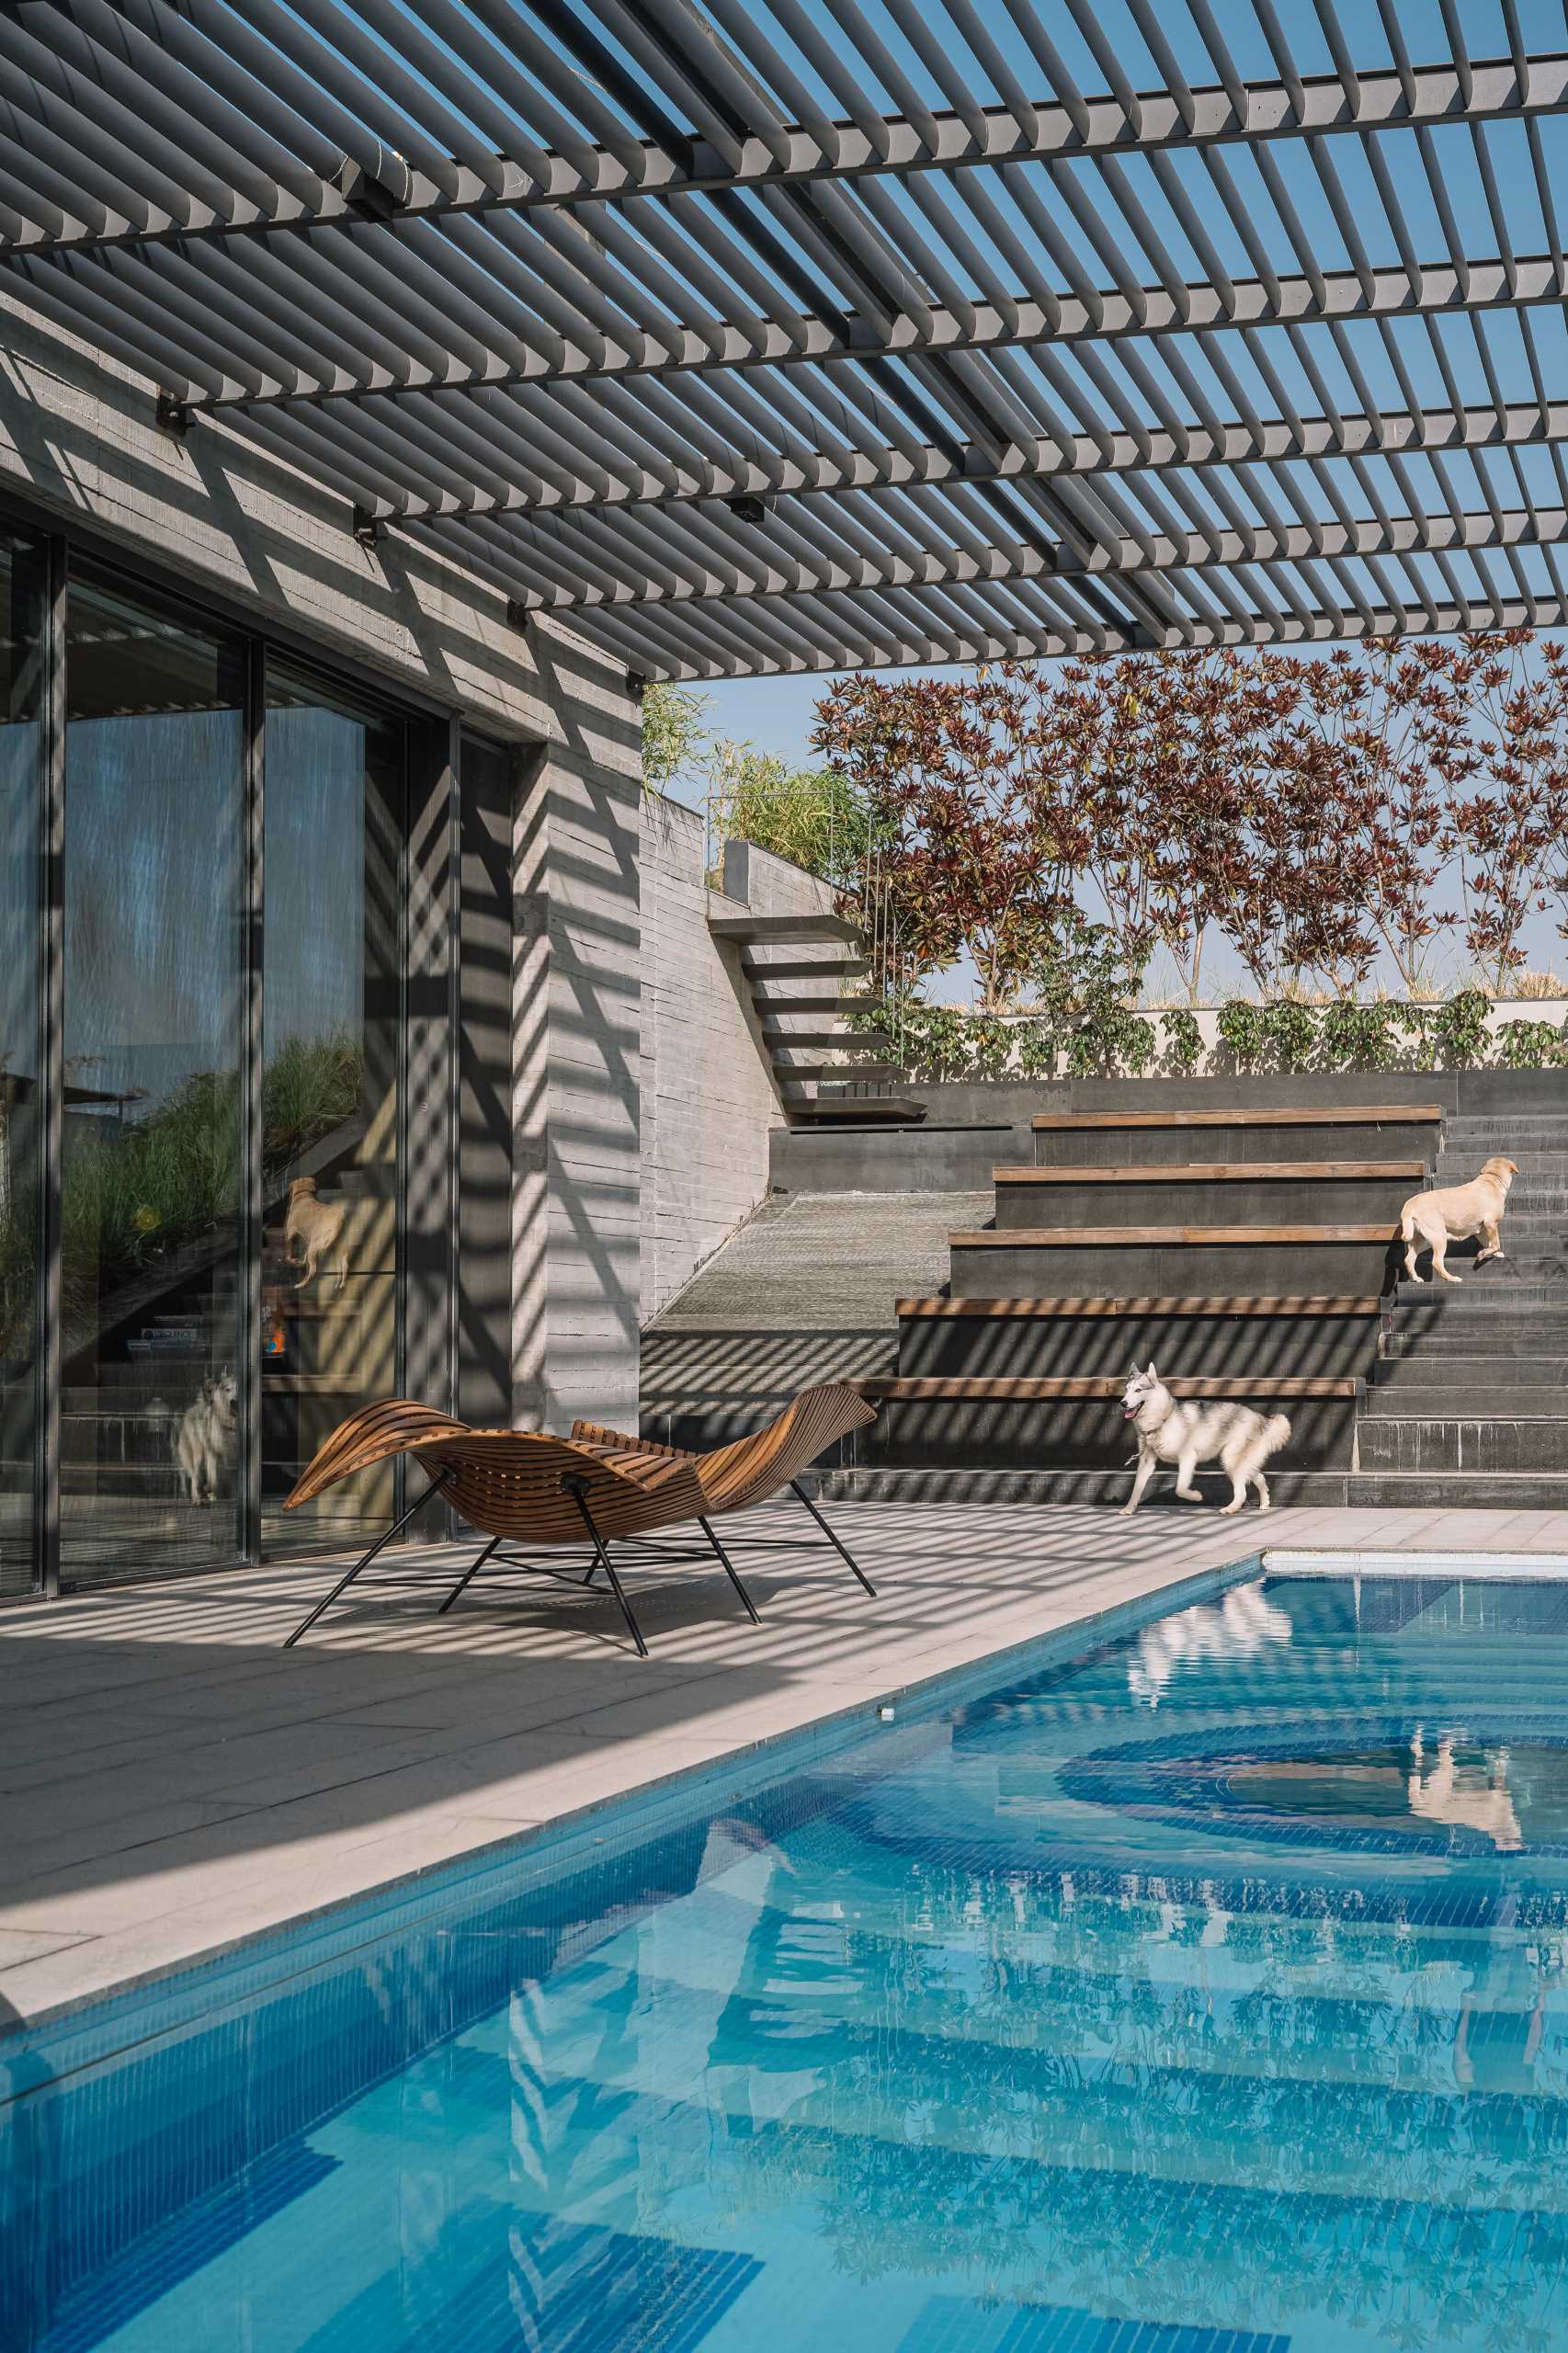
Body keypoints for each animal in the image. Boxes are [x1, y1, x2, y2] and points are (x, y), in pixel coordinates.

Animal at [1116, 1374, 1290, 1515]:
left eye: (1138, 1390)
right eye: (1126, 1390)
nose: (1123, 1403)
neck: (1163, 1419)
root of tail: (1260, 1418)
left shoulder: (1188, 1457)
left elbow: (1180, 1489)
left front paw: (1196, 1496)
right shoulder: (1146, 1462)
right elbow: (1136, 1488)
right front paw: (1129, 1508)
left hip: (1230, 1460)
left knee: (1242, 1492)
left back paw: (1231, 1508)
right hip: (1241, 1462)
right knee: (1259, 1477)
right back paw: (1264, 1503)